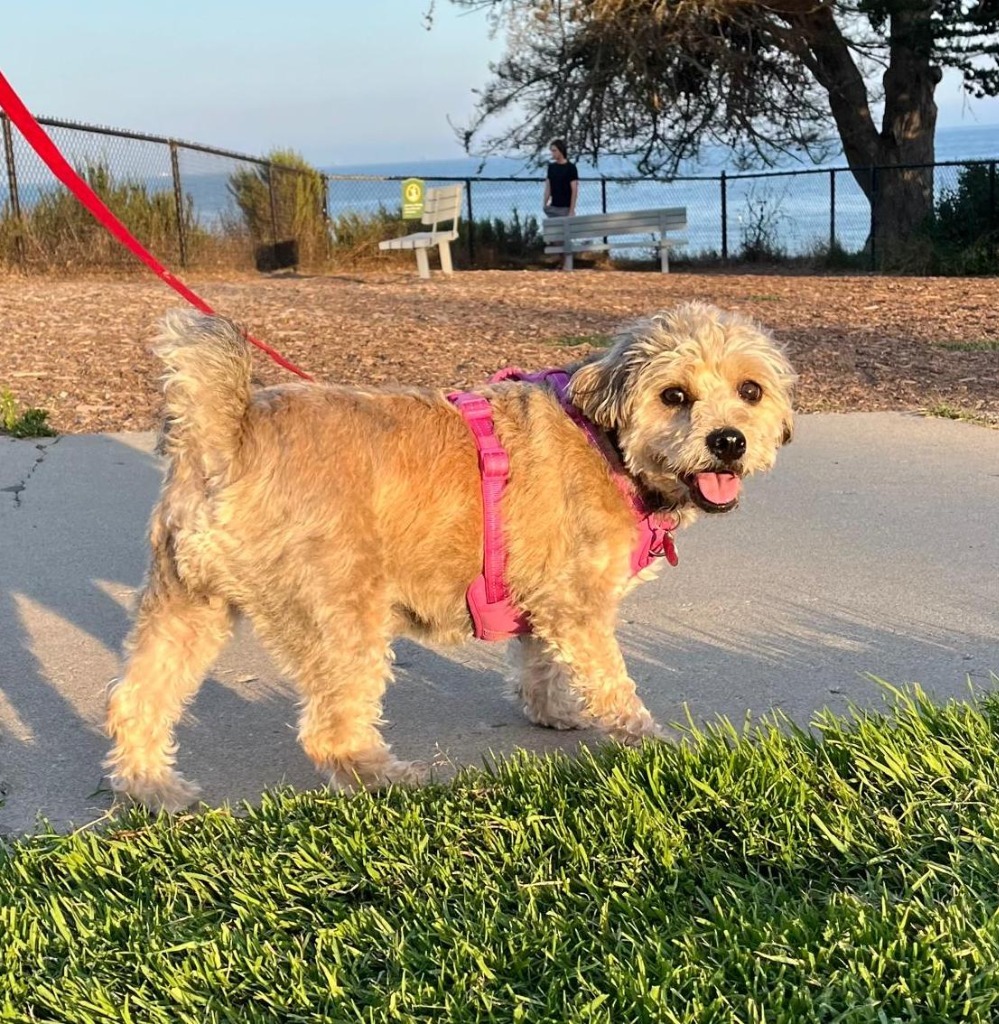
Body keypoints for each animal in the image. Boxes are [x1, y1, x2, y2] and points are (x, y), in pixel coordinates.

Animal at [105, 299, 794, 811]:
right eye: (674, 395)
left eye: (751, 390)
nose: (728, 441)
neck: (609, 444)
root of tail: (230, 431)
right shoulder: (578, 605)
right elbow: (611, 680)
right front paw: (649, 740)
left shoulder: (543, 597)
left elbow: (541, 664)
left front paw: (552, 713)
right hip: (340, 617)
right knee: (332, 731)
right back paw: (389, 781)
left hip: (185, 606)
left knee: (135, 702)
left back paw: (155, 791)